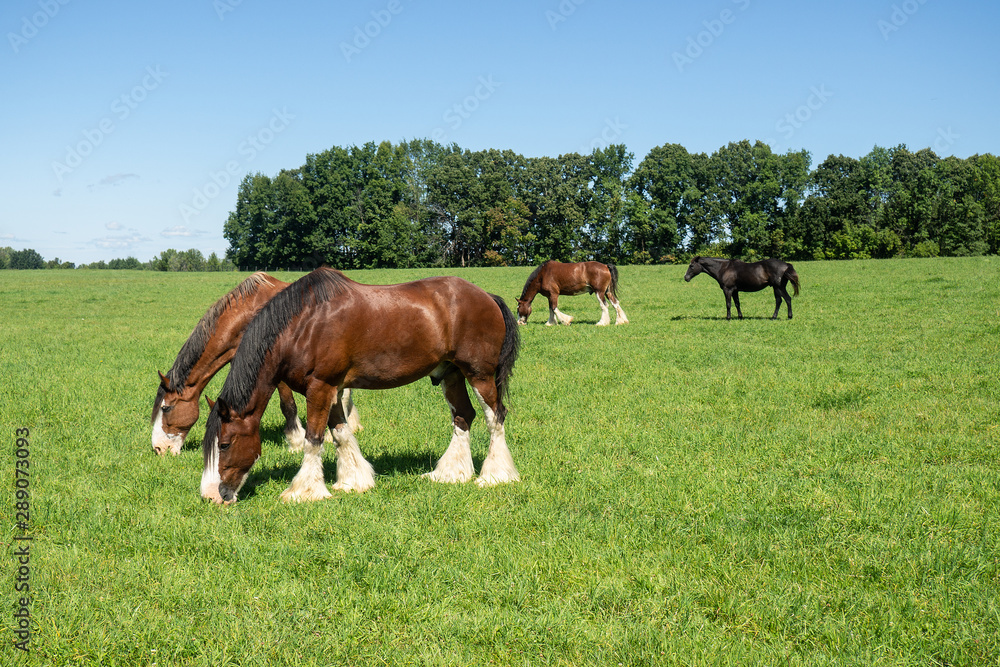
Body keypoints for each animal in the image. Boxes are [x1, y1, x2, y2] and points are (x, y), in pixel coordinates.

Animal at [199, 268, 520, 506]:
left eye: (224, 444)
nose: (213, 496)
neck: (303, 325)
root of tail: (488, 297)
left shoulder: (320, 387)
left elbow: (314, 438)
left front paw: (304, 491)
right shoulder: (328, 389)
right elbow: (340, 433)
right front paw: (353, 481)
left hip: (479, 375)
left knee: (495, 417)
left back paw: (495, 476)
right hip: (451, 374)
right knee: (463, 416)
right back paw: (451, 473)